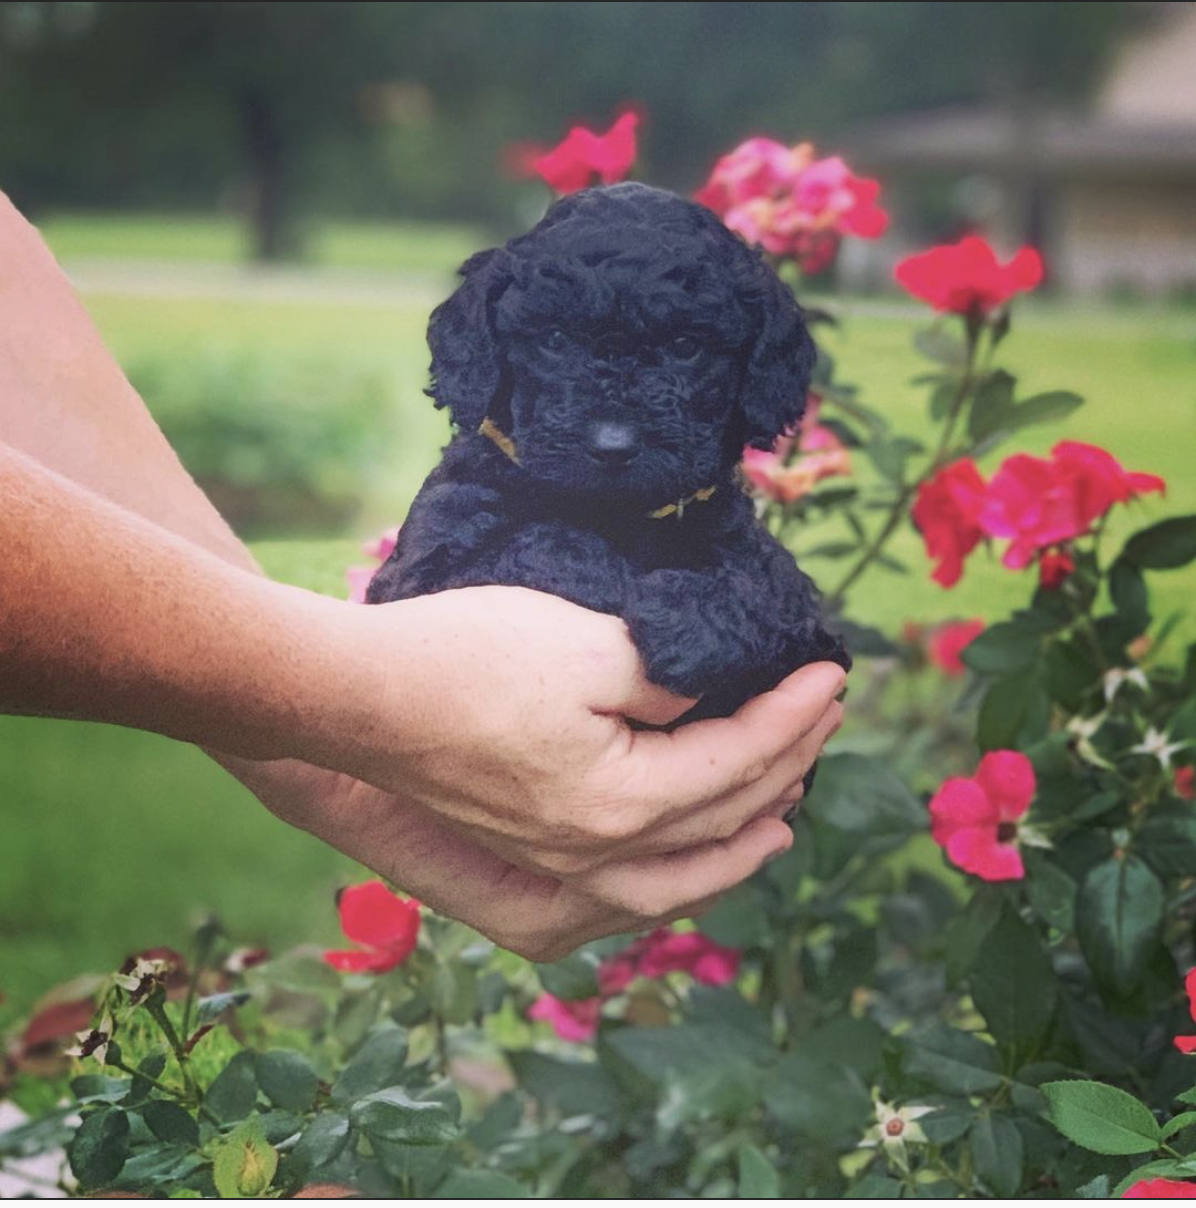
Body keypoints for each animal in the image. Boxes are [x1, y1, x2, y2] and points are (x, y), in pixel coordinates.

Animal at [369, 183, 845, 719]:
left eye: (686, 345)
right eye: (555, 339)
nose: (613, 446)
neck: (615, 511)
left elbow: (768, 583)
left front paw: (696, 625)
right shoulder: (418, 575)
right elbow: (542, 543)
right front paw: (622, 582)